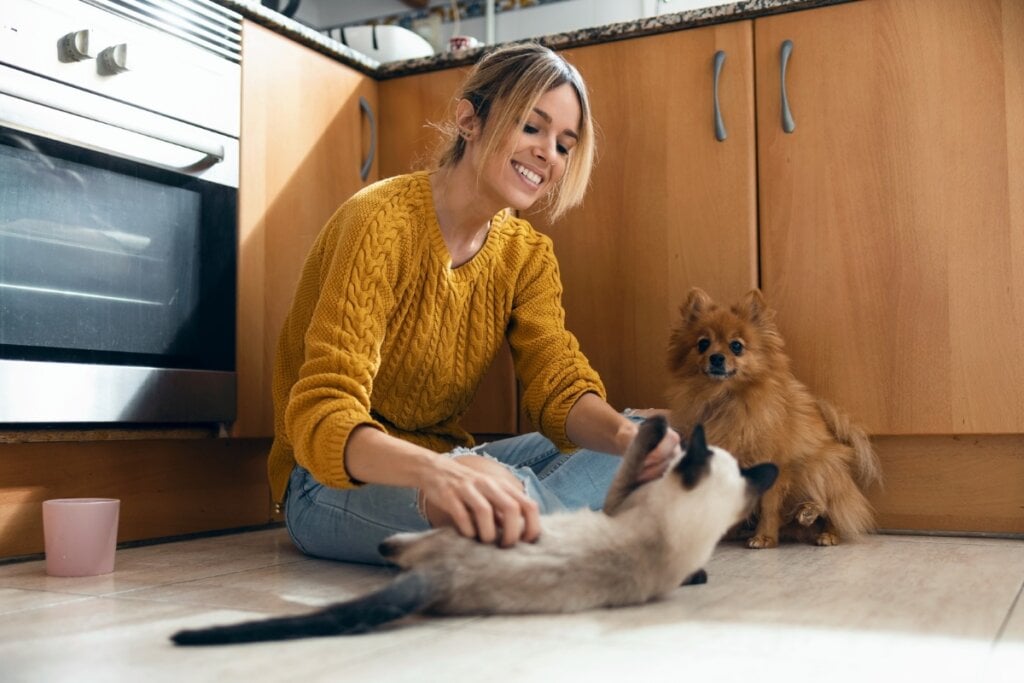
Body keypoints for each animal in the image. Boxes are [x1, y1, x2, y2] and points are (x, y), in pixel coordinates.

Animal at [172, 417, 774, 647]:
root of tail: (440, 578)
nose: (675, 444)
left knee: (392, 549)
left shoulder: (617, 500)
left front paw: (656, 430)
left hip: (433, 540)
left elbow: (633, 456)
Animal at [663, 288, 880, 548]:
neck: (725, 399)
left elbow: (769, 506)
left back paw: (822, 526)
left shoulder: (773, 466)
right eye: (703, 344)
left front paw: (765, 537)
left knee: (833, 509)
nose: (716, 357)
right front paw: (726, 531)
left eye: (736, 346)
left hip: (818, 467)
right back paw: (797, 516)